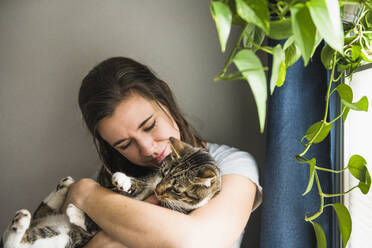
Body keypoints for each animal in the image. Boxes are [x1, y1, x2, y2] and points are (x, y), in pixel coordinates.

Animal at [0, 138, 221, 248]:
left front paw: (76, 213)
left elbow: (91, 224)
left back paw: (20, 222)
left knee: (16, 243)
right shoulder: (150, 182)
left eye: (175, 188)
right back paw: (62, 187)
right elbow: (138, 184)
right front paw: (123, 180)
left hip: (63, 239)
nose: (159, 191)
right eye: (164, 172)